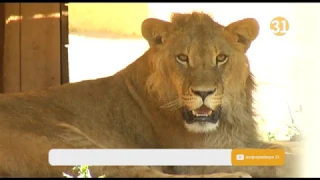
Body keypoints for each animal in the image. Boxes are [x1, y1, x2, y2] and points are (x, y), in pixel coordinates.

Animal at [0, 11, 300, 178]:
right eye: (182, 58)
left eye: (221, 58)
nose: (203, 93)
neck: (229, 117)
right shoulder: (199, 158)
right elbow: (281, 159)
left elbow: (285, 147)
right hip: (68, 141)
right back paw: (237, 176)